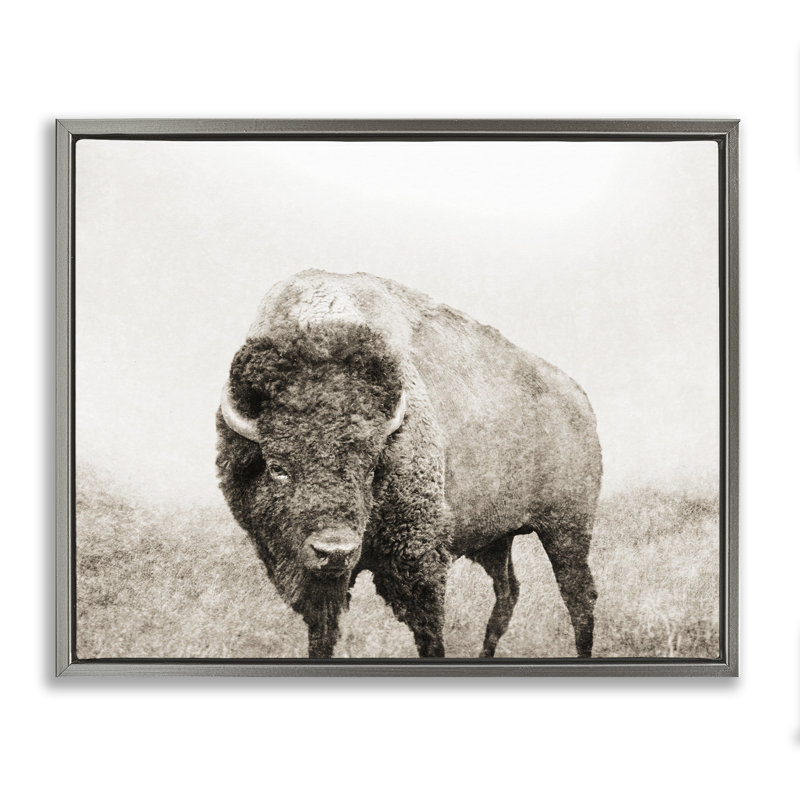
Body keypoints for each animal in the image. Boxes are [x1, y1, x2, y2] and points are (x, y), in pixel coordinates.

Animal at [216, 270, 602, 658]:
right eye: (277, 467)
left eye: (371, 467)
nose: (335, 551)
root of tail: (580, 397)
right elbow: (321, 633)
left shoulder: (418, 560)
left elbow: (429, 632)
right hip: (498, 539)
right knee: (508, 592)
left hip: (566, 528)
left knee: (579, 595)